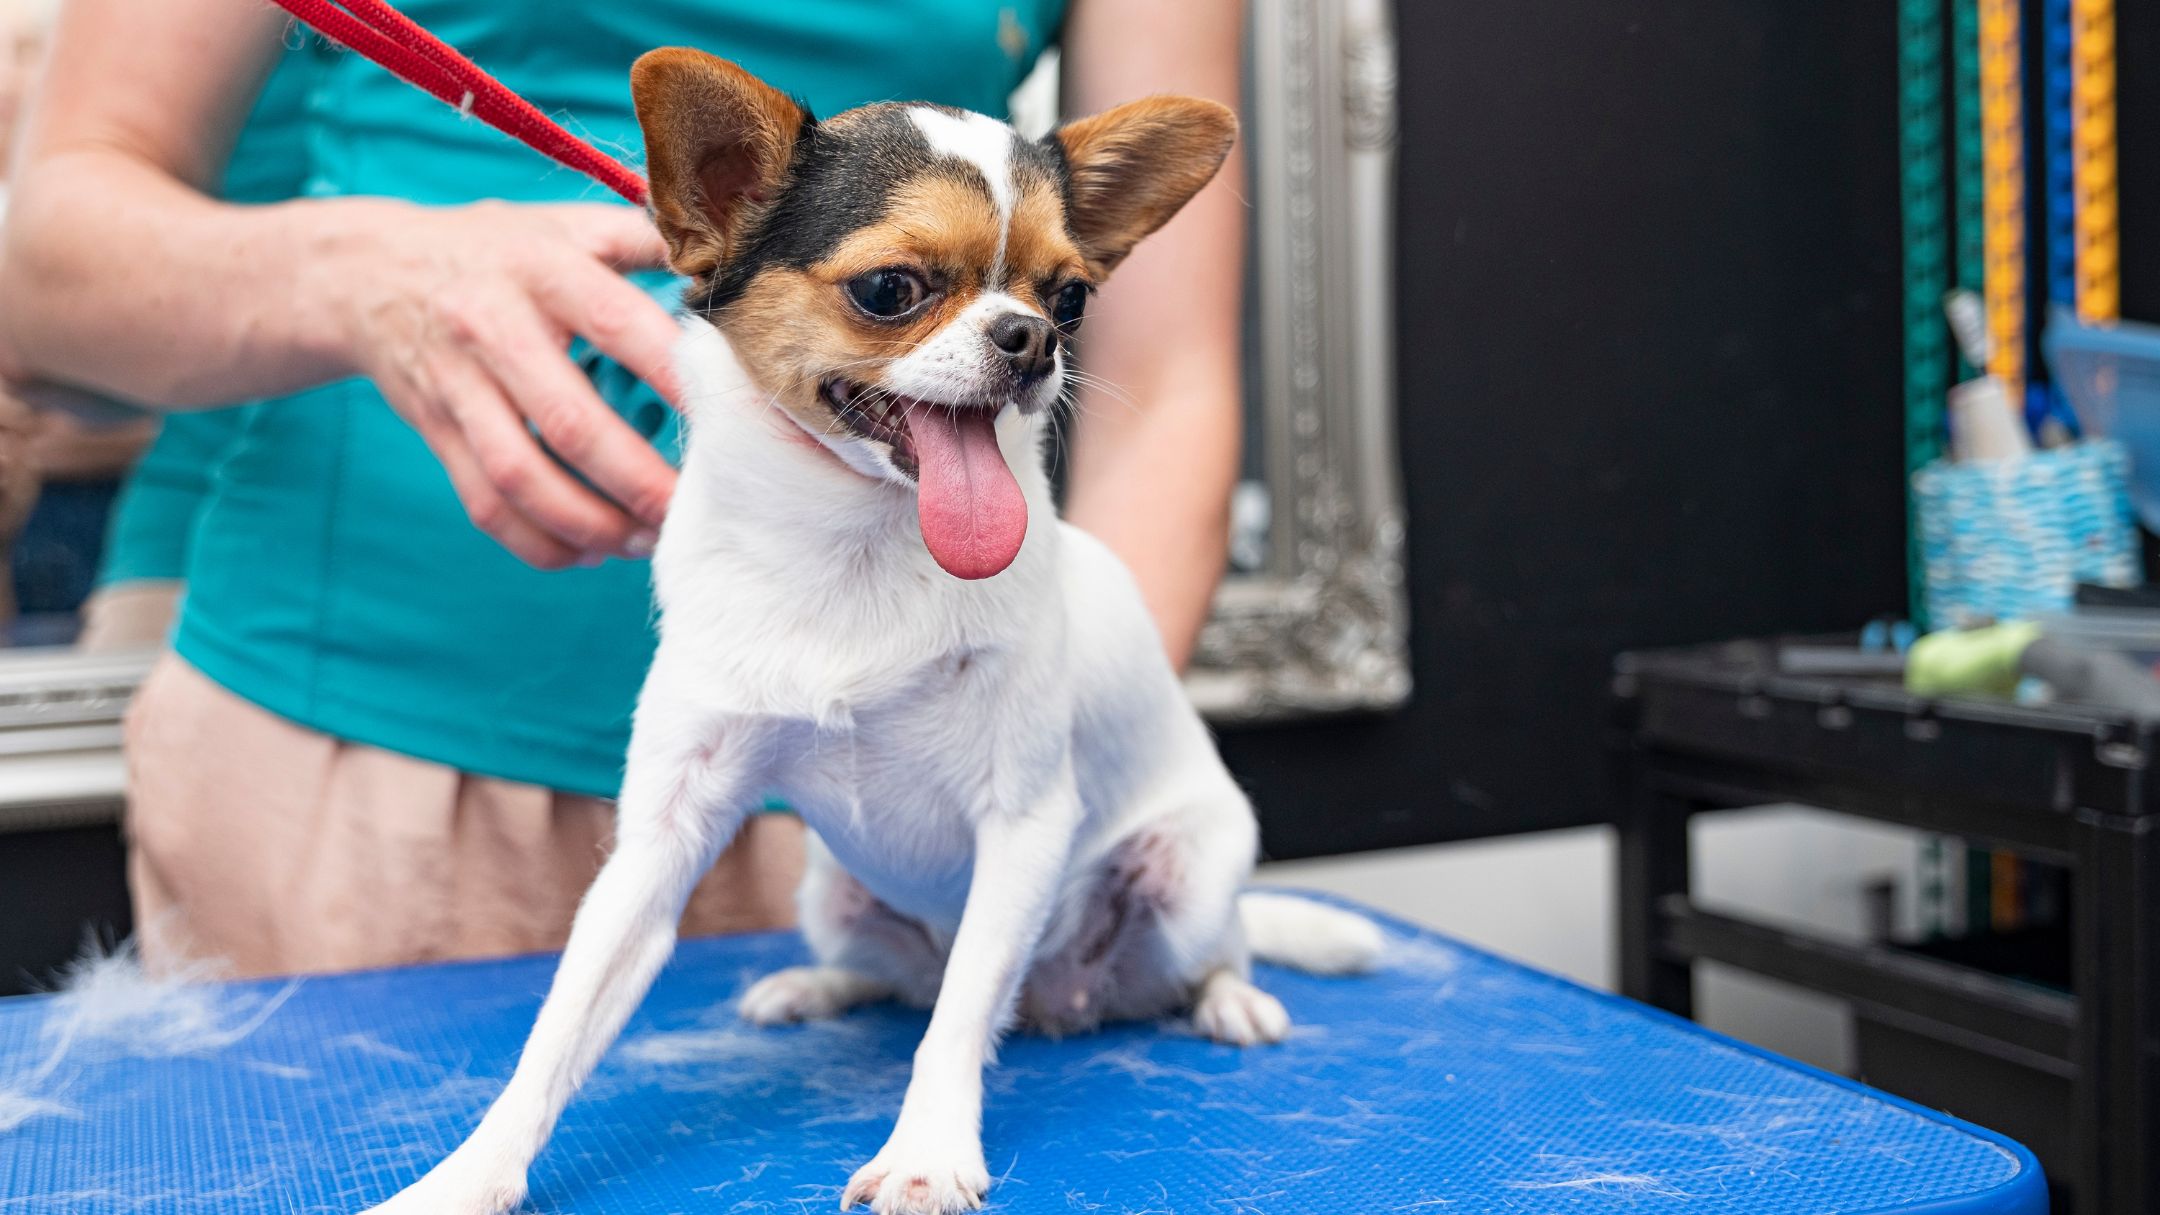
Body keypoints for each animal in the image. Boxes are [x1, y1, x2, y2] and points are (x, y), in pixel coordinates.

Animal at [367, 49, 1382, 1210]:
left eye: (1072, 297)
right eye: (890, 289)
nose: (1032, 338)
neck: (855, 550)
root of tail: (1059, 1001)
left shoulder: (1023, 824)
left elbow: (957, 1022)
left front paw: (927, 1151)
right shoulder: (660, 840)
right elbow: (559, 1029)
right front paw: (467, 1176)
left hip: (1186, 876)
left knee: (1180, 958)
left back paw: (1230, 1000)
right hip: (833, 891)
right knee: (902, 979)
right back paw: (812, 985)